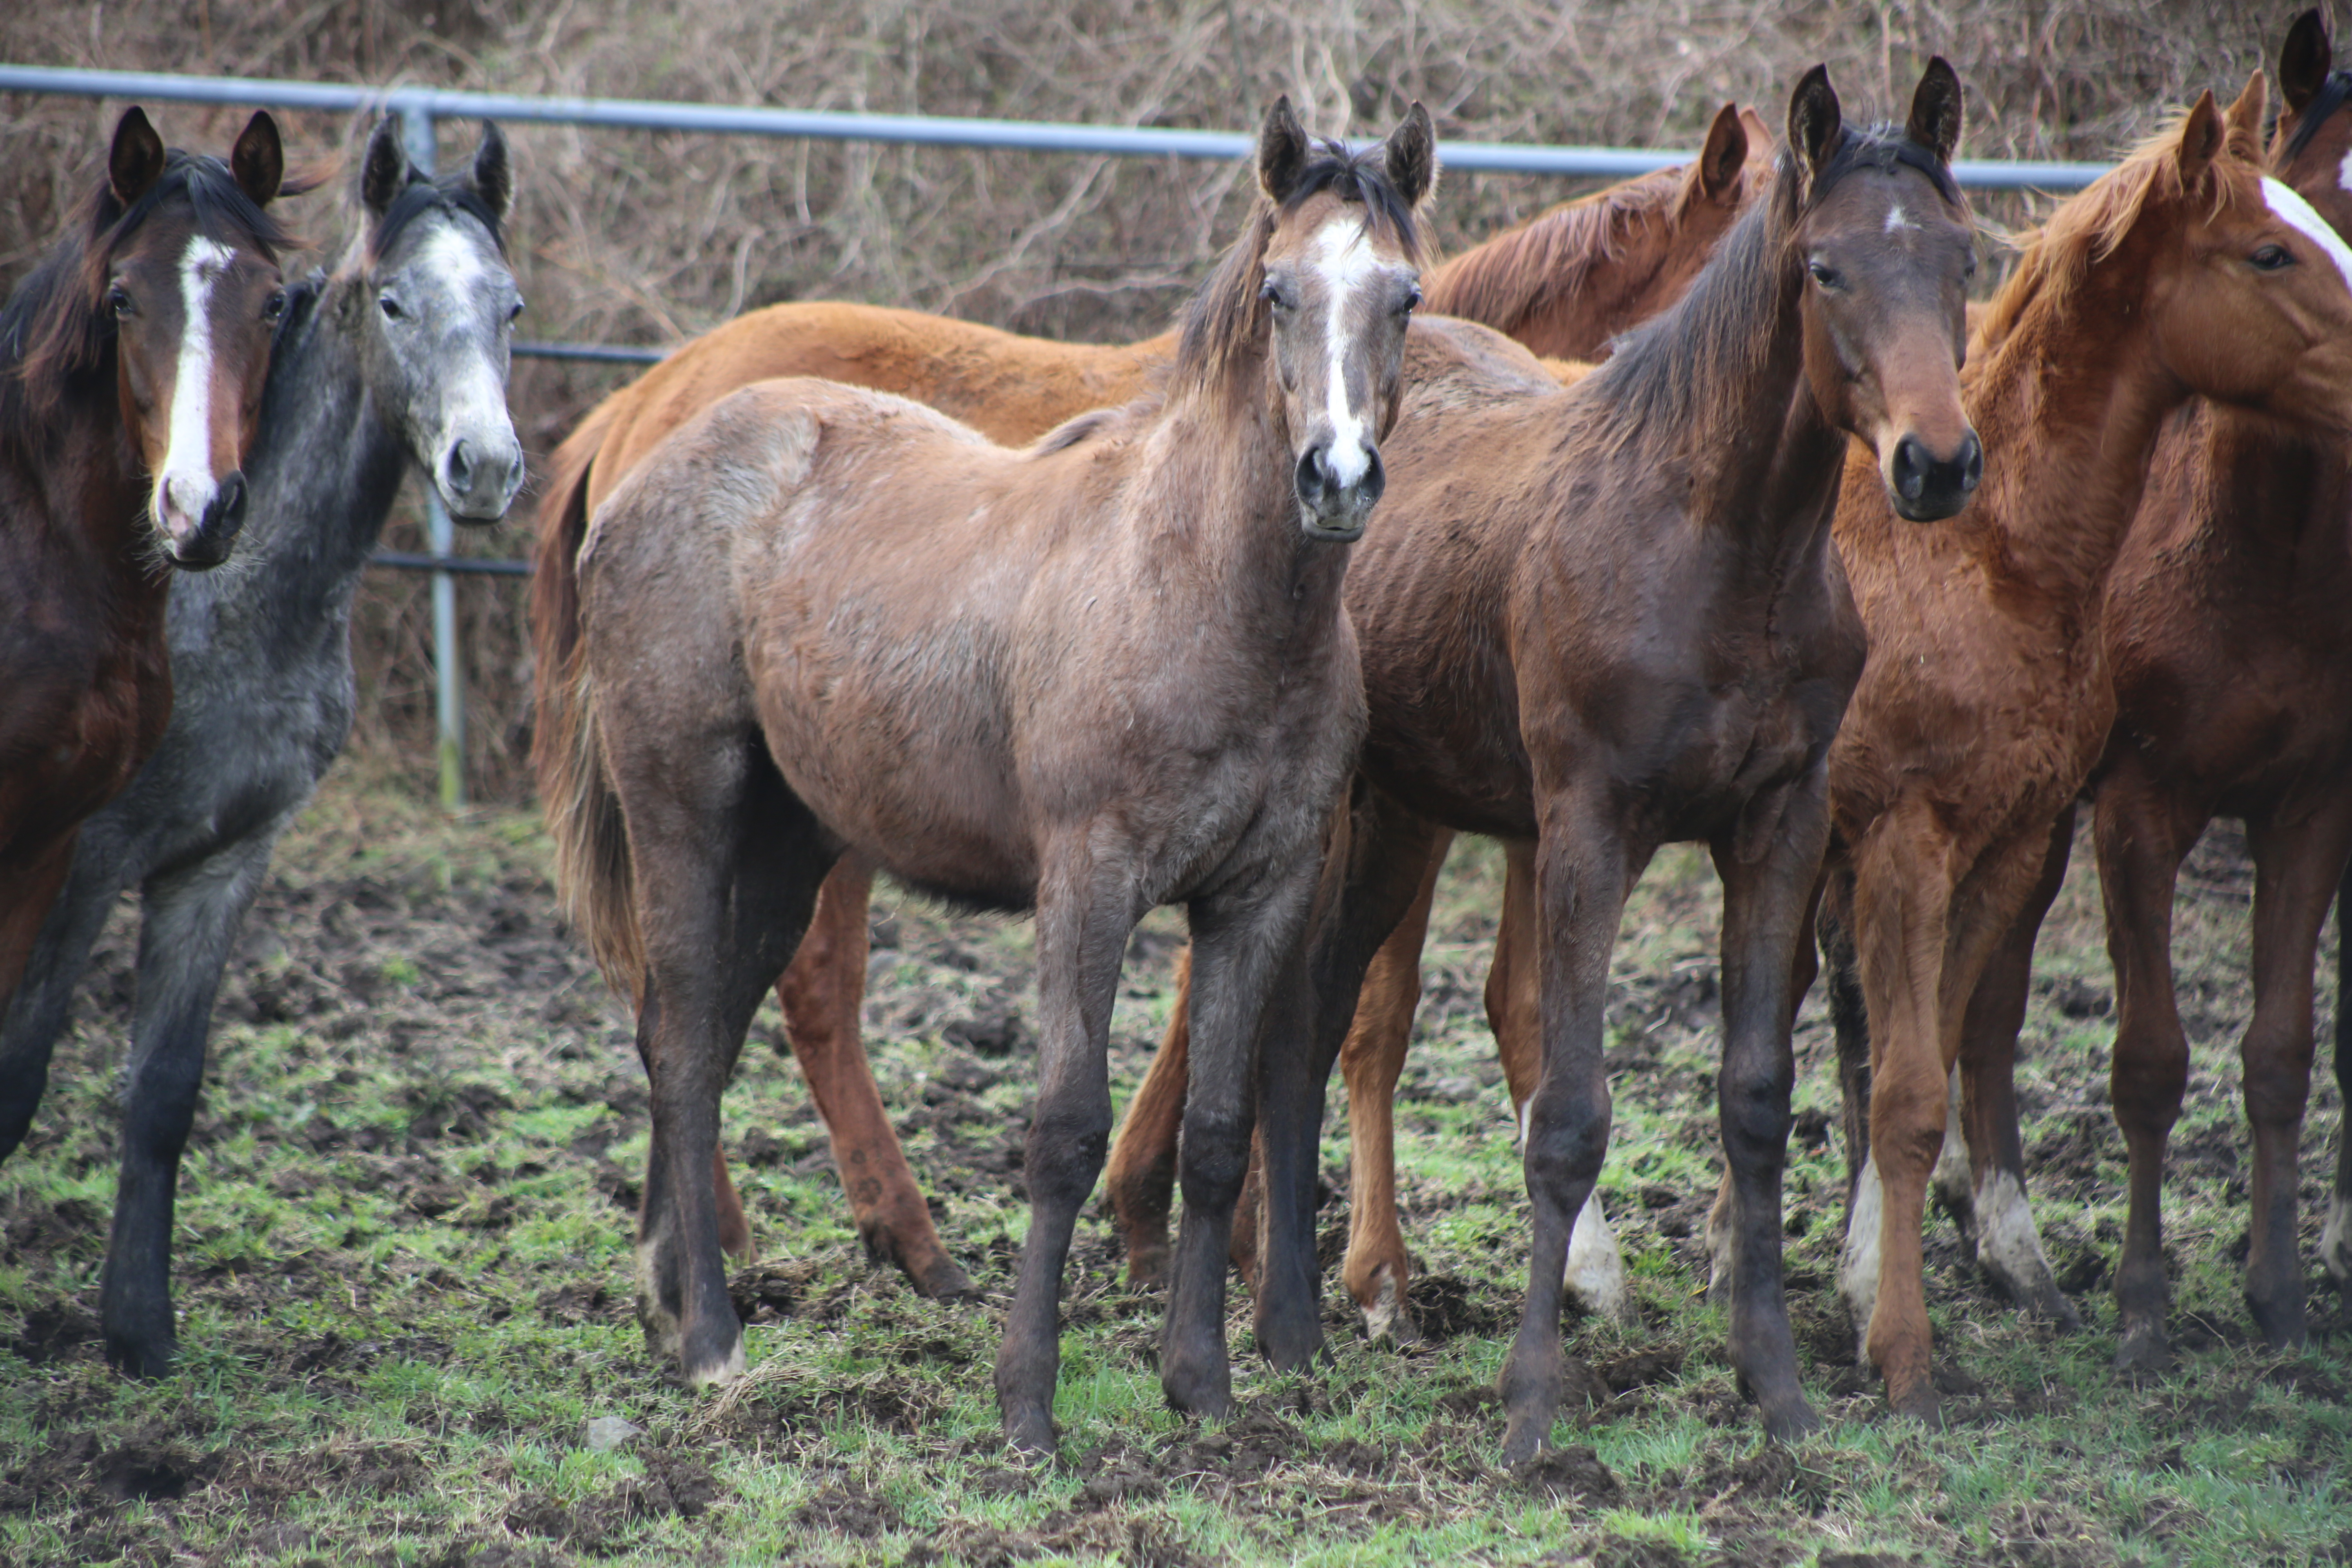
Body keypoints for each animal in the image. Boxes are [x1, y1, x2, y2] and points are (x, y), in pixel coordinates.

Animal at [529, 107, 1768, 1297]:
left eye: (1404, 299)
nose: (1340, 477)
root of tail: (641, 403)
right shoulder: (1372, 813)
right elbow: (1358, 1017)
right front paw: (1291, 1260)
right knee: (795, 994)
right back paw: (875, 1243)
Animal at [546, 98, 1430, 1457]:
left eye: (1406, 297)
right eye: (1280, 292)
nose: (1336, 479)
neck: (1198, 593)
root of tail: (641, 454)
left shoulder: (1263, 890)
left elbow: (1220, 1132)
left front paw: (1203, 1385)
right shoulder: (1089, 885)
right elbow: (1064, 1130)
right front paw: (1026, 1402)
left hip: (791, 845)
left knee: (697, 1030)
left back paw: (665, 1299)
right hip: (683, 809)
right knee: (686, 1040)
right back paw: (709, 1340)